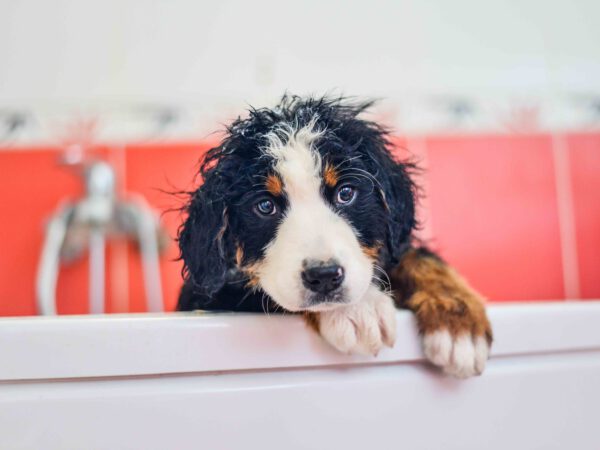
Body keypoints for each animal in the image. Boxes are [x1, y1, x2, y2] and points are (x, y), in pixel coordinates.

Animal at [177, 96, 492, 380]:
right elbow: (262, 291)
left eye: (346, 193)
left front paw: (459, 324)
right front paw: (360, 309)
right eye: (265, 206)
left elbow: (416, 256)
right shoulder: (208, 295)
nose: (325, 276)